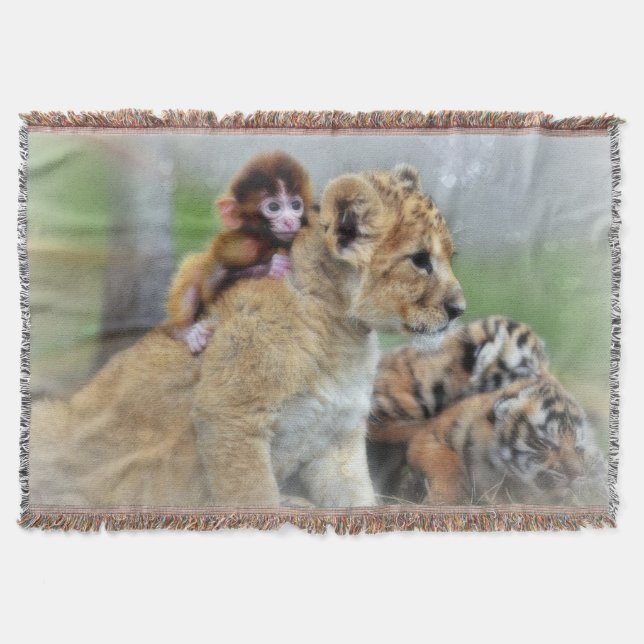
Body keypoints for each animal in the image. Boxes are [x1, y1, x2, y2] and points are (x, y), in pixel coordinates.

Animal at [164, 152, 314, 353]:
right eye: (273, 207)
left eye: (296, 205)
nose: (289, 220)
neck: (266, 240)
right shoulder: (241, 247)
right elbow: (211, 287)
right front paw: (273, 267)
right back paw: (185, 332)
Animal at [376, 375, 607, 506]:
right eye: (545, 443)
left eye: (578, 448)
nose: (575, 475)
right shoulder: (431, 437)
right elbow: (445, 465)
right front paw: (441, 500)